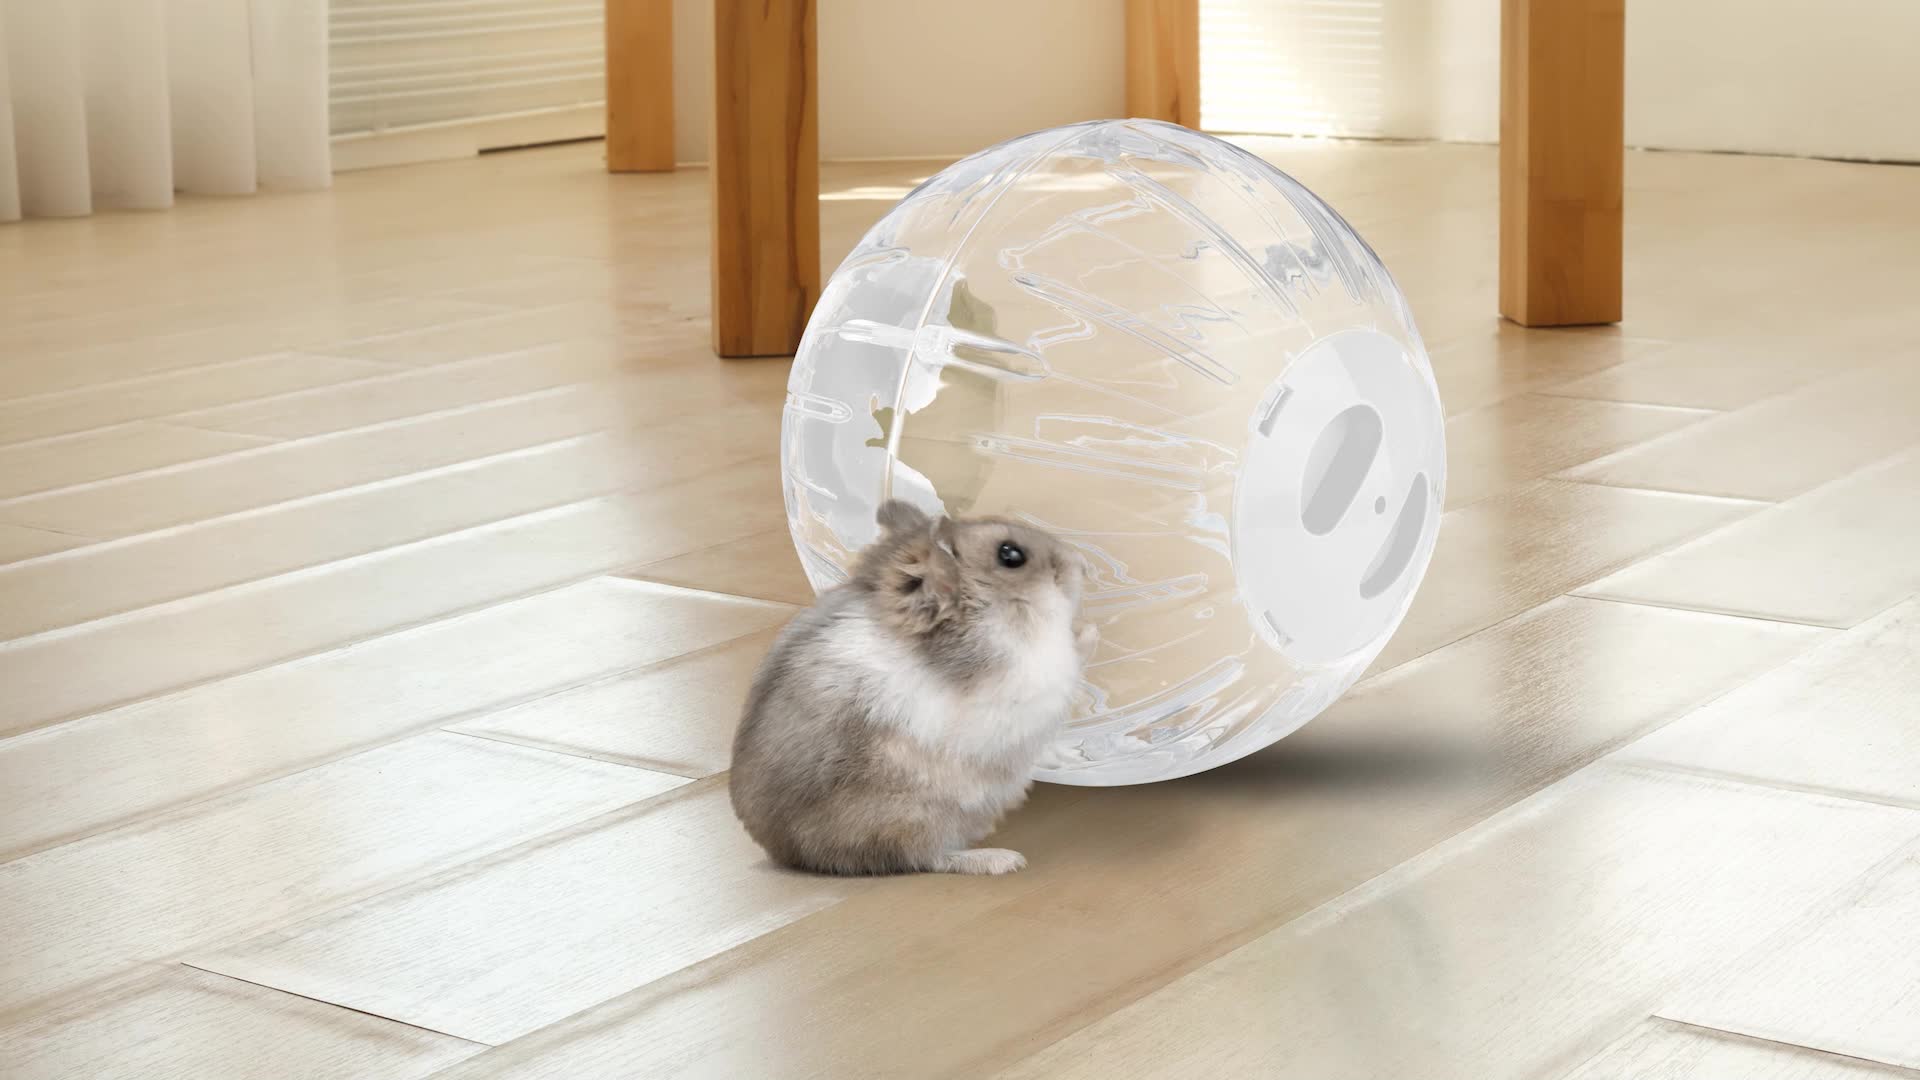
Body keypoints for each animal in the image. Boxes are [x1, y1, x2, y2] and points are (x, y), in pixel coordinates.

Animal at [730, 499, 1096, 876]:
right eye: (1010, 555)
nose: (1084, 565)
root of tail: (788, 854)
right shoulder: (1034, 677)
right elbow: (1072, 655)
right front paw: (1089, 629)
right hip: (912, 817)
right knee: (921, 858)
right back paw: (1004, 860)